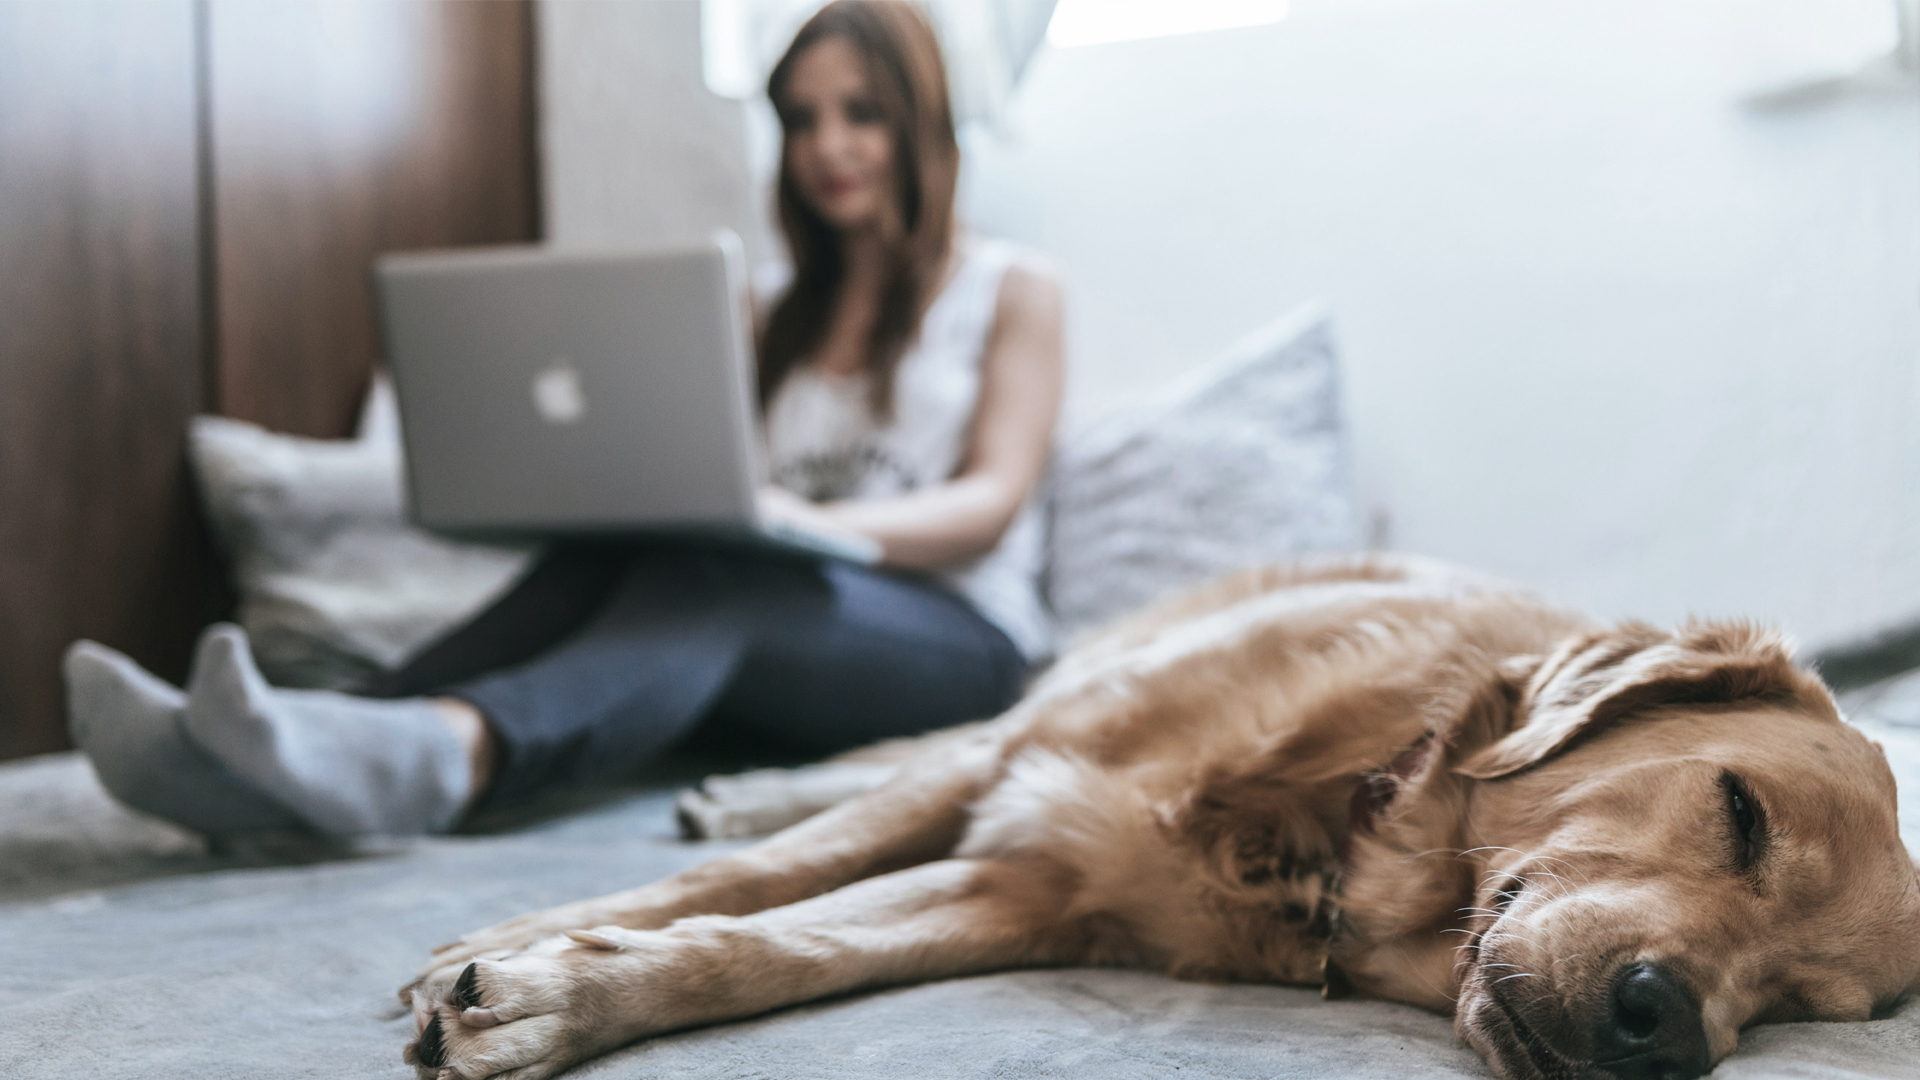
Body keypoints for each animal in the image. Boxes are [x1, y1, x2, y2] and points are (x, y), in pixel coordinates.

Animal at [397, 553, 1912, 1076]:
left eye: (1803, 1005)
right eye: (1739, 812)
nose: (1667, 1032)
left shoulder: (1023, 892)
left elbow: (778, 945)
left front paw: (561, 994)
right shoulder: (1020, 766)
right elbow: (774, 878)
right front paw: (518, 942)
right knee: (892, 754)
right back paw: (742, 786)